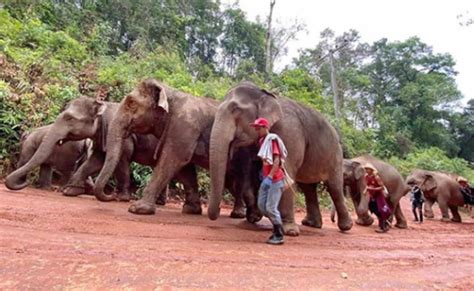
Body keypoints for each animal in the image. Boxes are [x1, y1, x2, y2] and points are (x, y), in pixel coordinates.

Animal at [90, 78, 262, 220]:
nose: (112, 196)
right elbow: (185, 168)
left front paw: (137, 209)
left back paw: (241, 215)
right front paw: (191, 210)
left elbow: (172, 159)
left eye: (131, 103)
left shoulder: (184, 127)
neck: (169, 91)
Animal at [207, 81, 352, 236]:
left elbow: (285, 168)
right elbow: (253, 170)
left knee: (334, 187)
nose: (218, 211)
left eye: (235, 109)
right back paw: (311, 224)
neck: (265, 94)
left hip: (335, 154)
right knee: (308, 188)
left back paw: (345, 227)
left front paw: (290, 231)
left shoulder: (289, 132)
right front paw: (254, 217)